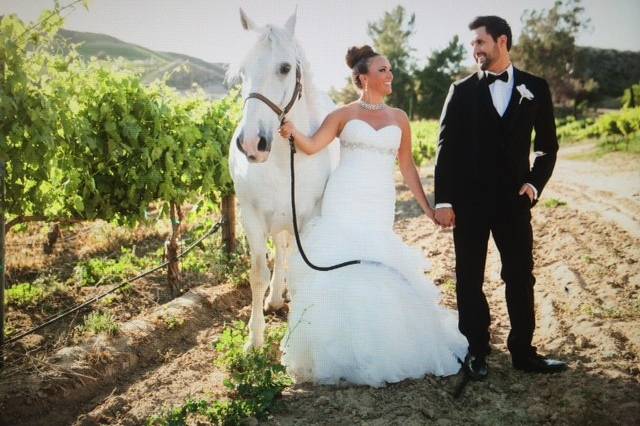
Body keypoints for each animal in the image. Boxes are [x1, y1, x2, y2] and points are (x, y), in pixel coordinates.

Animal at [229, 9, 340, 350]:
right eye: (241, 72)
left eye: (285, 68)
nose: (252, 144)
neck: (281, 160)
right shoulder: (251, 216)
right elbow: (257, 273)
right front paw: (254, 339)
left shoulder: (307, 216)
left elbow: (301, 266)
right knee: (280, 249)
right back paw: (276, 297)